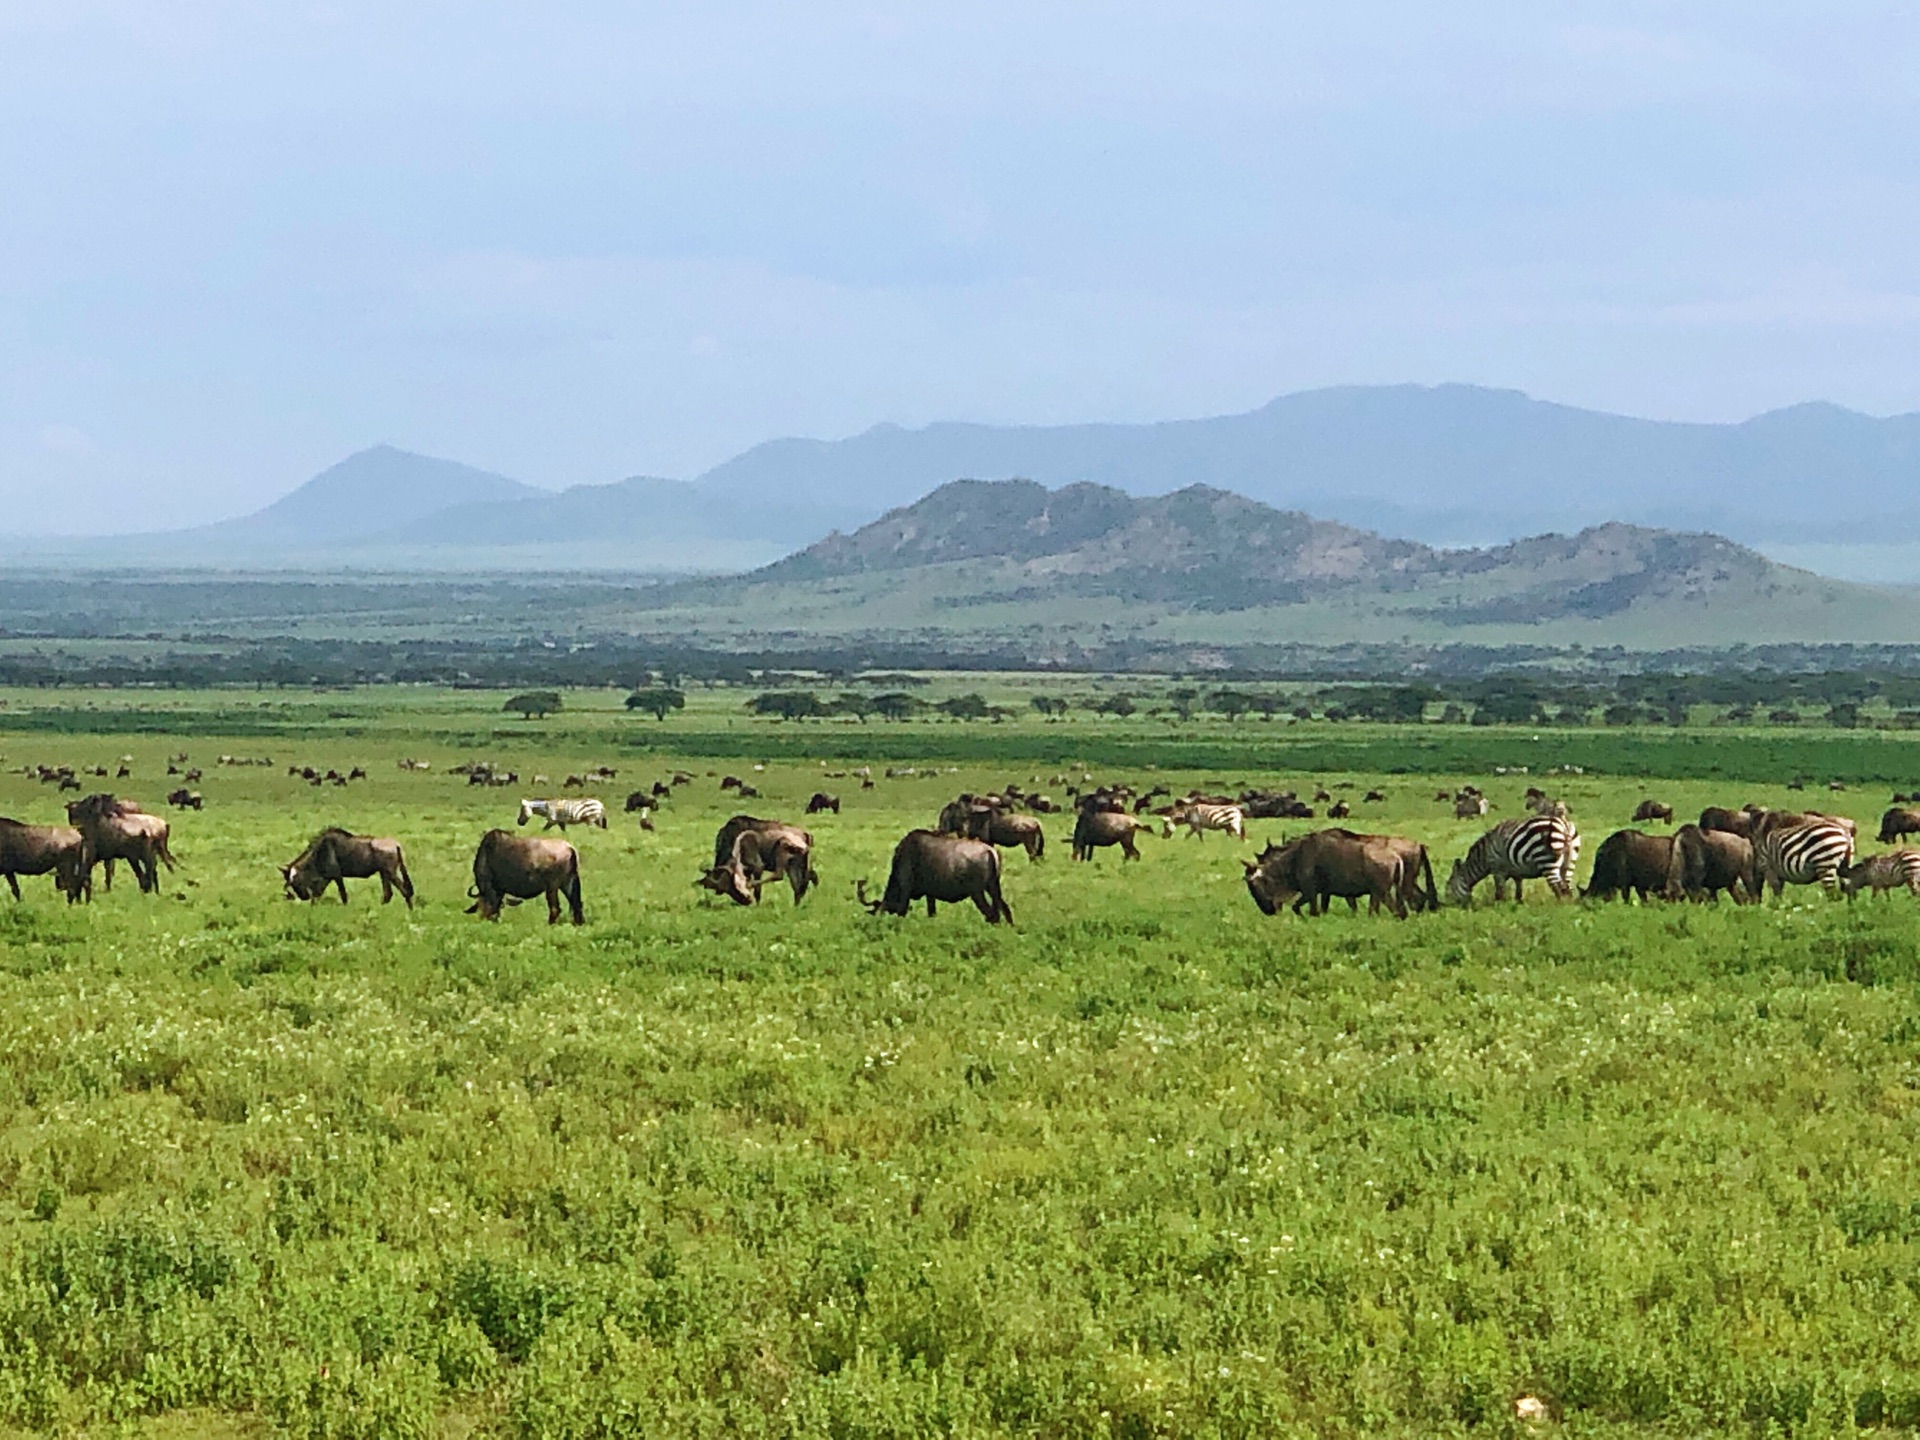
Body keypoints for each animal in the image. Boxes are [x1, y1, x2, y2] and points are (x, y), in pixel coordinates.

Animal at [1443, 817, 1582, 906]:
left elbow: (1499, 890)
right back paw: (1567, 905)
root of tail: (1564, 826)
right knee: (1566, 886)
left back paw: (1558, 907)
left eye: (1448, 886)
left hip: (1546, 859)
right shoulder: (1516, 870)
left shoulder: (1497, 869)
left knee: (1557, 886)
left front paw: (1498, 906)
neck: (1484, 857)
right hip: (1570, 860)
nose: (1445, 906)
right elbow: (1518, 886)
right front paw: (1518, 903)